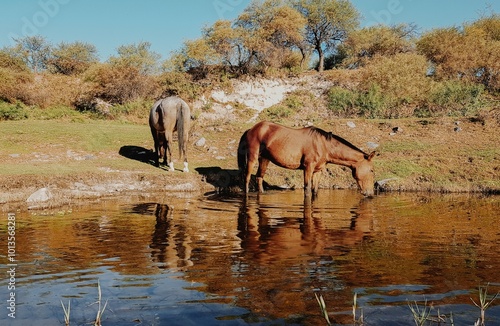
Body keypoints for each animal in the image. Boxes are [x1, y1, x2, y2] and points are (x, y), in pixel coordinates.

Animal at [238, 120, 376, 195]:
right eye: (372, 170)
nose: (370, 193)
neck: (324, 145)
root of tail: (251, 129)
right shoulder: (308, 168)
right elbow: (307, 189)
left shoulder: (317, 171)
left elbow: (315, 191)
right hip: (252, 158)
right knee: (247, 177)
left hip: (264, 159)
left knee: (259, 177)